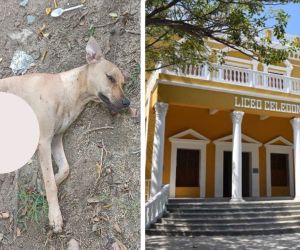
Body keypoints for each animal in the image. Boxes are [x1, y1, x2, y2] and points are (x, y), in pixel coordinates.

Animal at [0, 36, 130, 232]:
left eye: (122, 84)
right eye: (110, 77)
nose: (127, 102)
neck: (69, 91)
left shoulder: (56, 139)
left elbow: (64, 169)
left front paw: (46, 184)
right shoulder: (44, 141)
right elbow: (50, 184)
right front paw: (55, 216)